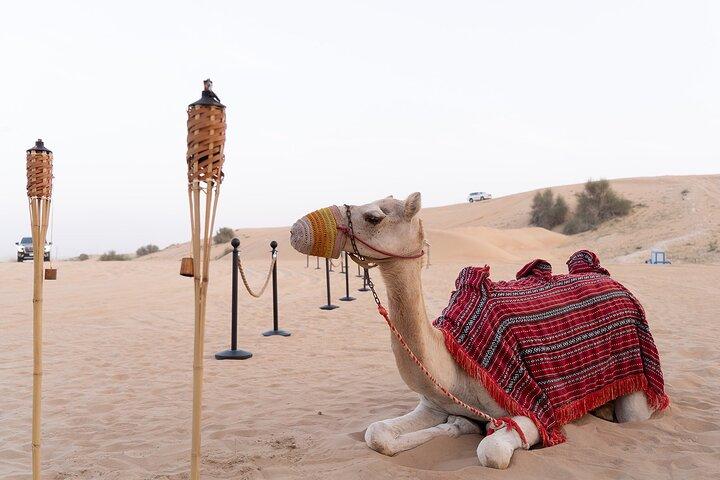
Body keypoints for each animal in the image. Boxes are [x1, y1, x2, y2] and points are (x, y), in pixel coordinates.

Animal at [290, 193, 658, 469]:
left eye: (373, 217)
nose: (296, 229)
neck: (454, 362)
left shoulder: (535, 412)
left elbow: (491, 451)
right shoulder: (433, 404)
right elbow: (376, 433)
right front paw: (460, 424)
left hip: (636, 388)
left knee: (637, 414)